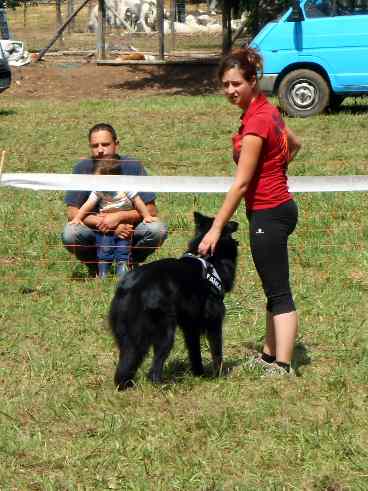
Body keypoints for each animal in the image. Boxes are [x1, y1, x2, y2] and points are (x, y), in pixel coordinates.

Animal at [108, 213, 239, 390]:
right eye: (227, 224)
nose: (237, 222)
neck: (210, 259)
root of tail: (132, 286)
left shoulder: (191, 326)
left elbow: (194, 352)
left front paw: (199, 374)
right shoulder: (214, 321)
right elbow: (217, 351)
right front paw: (219, 375)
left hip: (128, 336)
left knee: (126, 362)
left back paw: (125, 385)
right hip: (165, 333)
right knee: (155, 367)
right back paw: (160, 385)